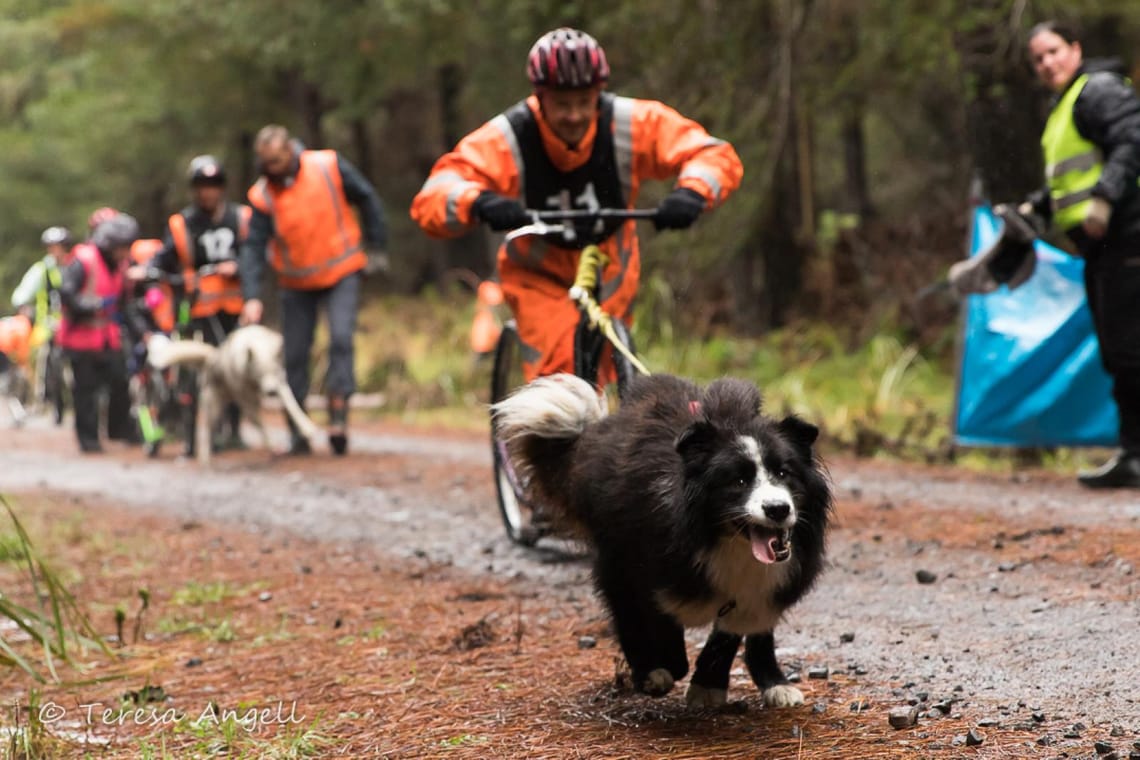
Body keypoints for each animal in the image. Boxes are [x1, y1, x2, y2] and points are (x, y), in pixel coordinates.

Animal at [494, 373, 834, 706]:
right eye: (738, 481)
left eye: (784, 473)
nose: (778, 509)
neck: (722, 540)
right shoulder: (632, 559)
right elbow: (646, 617)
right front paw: (654, 672)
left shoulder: (760, 581)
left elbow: (731, 627)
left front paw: (707, 686)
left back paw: (776, 684)